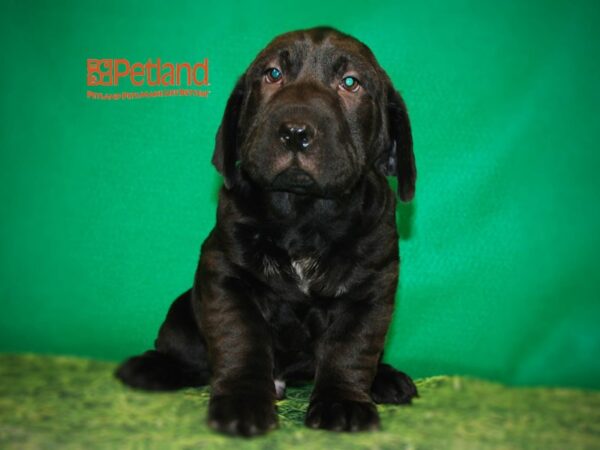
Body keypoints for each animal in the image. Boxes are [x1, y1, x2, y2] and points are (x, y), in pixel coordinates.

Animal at [116, 27, 418, 436]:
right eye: (272, 75)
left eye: (350, 83)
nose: (295, 132)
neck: (304, 216)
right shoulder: (226, 276)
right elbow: (241, 341)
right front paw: (242, 403)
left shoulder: (371, 289)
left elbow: (351, 350)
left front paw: (343, 402)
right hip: (181, 314)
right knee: (184, 353)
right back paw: (151, 367)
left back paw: (386, 378)